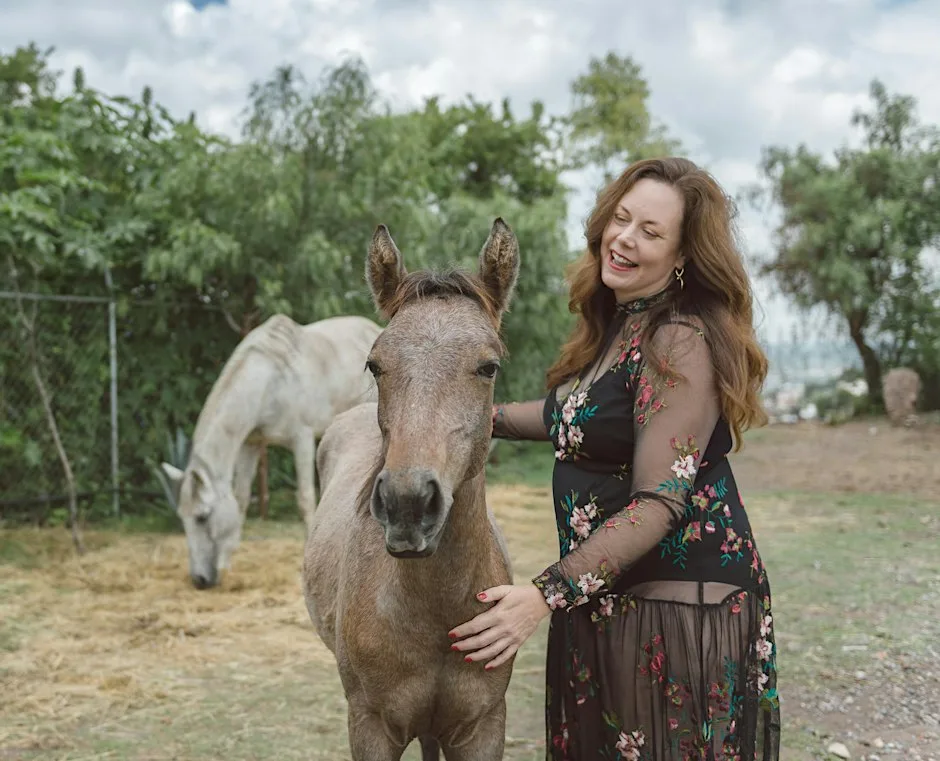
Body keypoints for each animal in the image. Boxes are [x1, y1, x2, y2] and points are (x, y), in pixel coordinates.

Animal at [161, 313, 382, 589]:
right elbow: (241, 499)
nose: (200, 580)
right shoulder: (251, 445)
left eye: (202, 517)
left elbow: (305, 498)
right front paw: (227, 565)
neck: (269, 384)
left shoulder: (302, 439)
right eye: (183, 518)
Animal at [302, 218, 520, 761]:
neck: (437, 613)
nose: (408, 504)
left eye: (489, 366)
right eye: (375, 365)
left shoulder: (483, 726)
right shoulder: (372, 727)